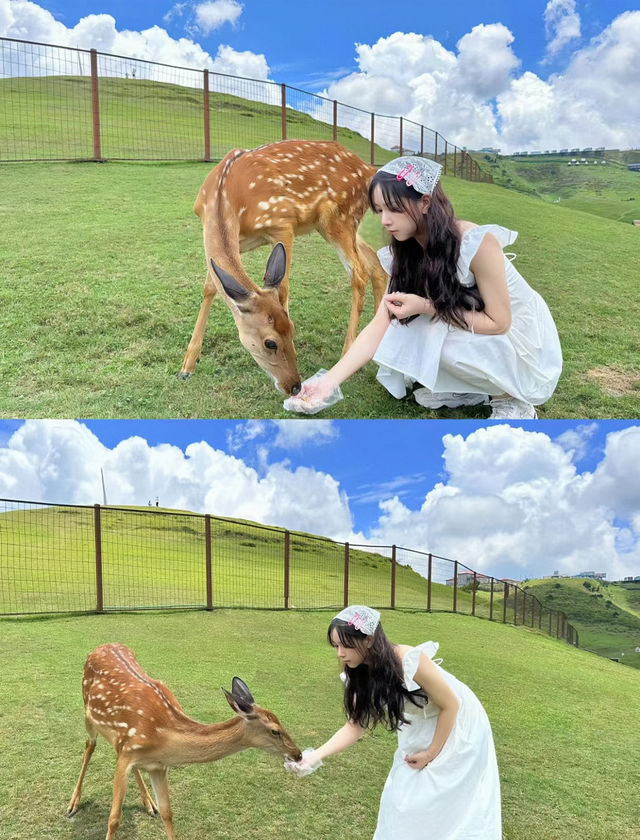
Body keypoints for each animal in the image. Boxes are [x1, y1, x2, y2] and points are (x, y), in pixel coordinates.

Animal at [67, 644, 302, 840]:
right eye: (275, 731)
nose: (298, 754)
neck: (163, 736)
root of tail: (99, 647)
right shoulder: (130, 753)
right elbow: (114, 818)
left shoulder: (156, 765)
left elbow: (168, 813)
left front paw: (156, 807)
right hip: (88, 715)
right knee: (89, 746)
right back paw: (72, 805)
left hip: (119, 742)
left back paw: (148, 804)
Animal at [178, 139, 388, 398]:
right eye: (270, 342)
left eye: (292, 330)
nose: (295, 386)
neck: (225, 199)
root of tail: (369, 170)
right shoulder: (235, 243)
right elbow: (210, 287)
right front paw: (187, 366)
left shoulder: (283, 223)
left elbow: (285, 288)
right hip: (339, 225)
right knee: (376, 266)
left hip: (340, 217)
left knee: (359, 273)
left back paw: (347, 354)